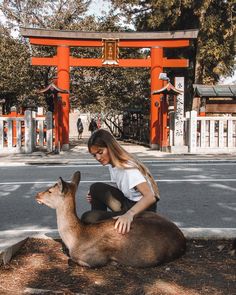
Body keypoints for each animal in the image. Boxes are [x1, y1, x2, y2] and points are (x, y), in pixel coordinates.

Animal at [35, 172, 186, 270]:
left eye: (50, 190)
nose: (37, 195)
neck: (75, 239)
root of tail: (183, 240)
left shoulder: (94, 259)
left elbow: (70, 260)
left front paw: (114, 263)